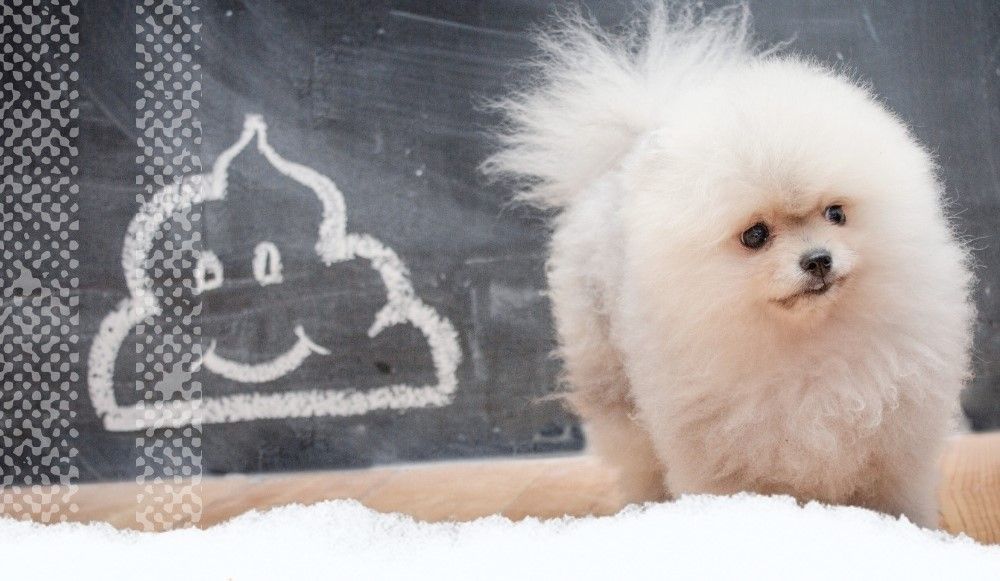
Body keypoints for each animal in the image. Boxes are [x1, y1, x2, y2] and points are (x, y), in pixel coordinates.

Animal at [484, 1, 976, 524]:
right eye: (755, 235)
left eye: (836, 214)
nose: (818, 260)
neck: (807, 346)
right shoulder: (717, 446)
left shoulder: (894, 443)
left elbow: (894, 494)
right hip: (611, 380)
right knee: (637, 457)